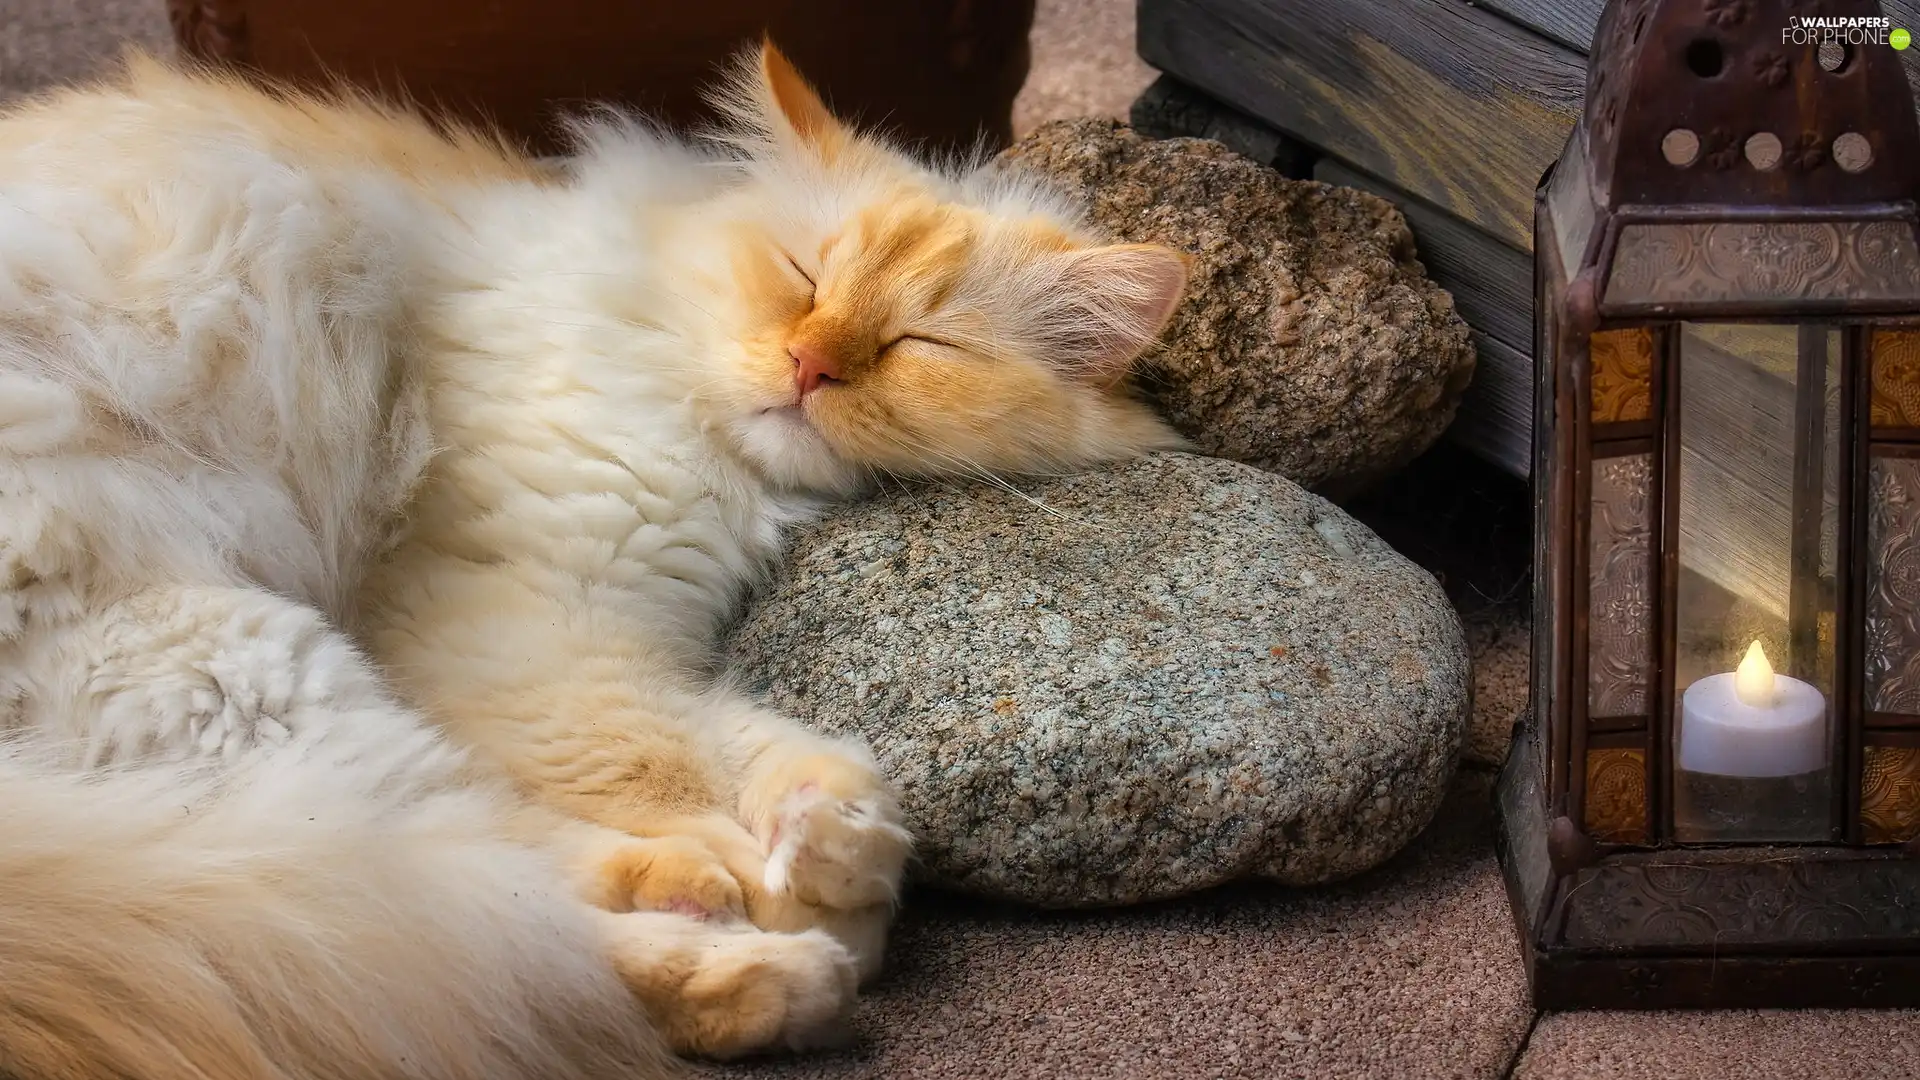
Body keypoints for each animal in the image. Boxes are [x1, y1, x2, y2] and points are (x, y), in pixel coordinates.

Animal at [0, 39, 1182, 1076]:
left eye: (919, 345)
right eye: (802, 277)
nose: (809, 366)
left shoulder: (619, 637)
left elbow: (789, 758)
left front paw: (827, 848)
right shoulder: (533, 615)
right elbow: (658, 763)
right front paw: (778, 874)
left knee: (444, 905)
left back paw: (768, 965)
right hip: (228, 659)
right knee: (450, 894)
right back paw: (742, 933)